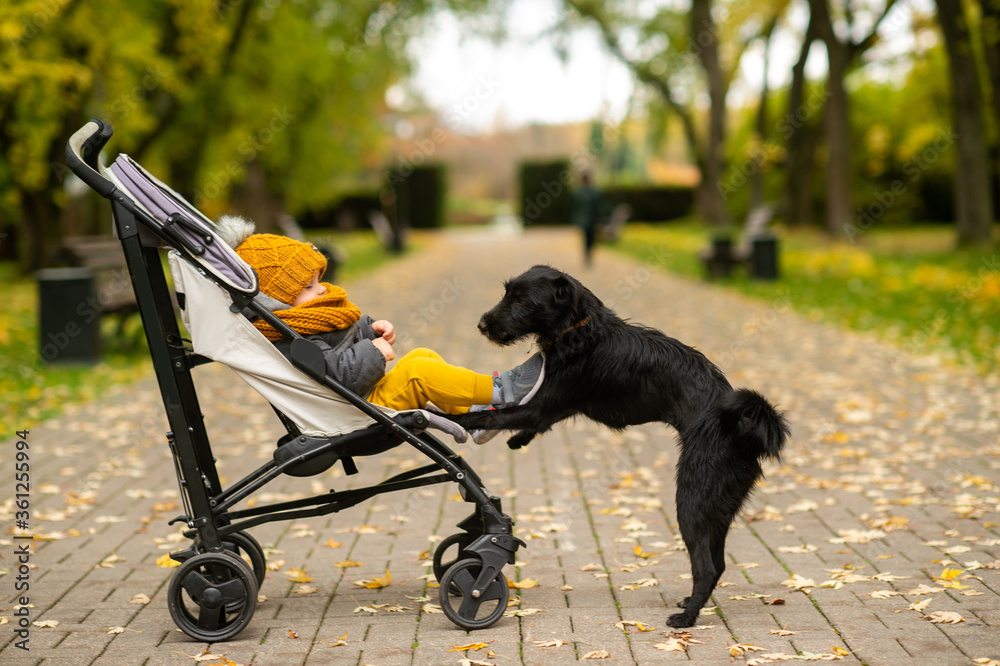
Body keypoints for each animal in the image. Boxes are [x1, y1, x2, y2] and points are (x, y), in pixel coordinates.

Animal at [452, 262, 788, 624]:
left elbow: (495, 416)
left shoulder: (542, 405)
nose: (482, 325)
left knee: (707, 567)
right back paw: (691, 603)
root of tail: (741, 429)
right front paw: (518, 440)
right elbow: (534, 424)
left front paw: (447, 416)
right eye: (507, 294)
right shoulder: (556, 406)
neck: (580, 329)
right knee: (719, 563)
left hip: (692, 501)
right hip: (720, 507)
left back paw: (687, 617)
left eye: (522, 300)